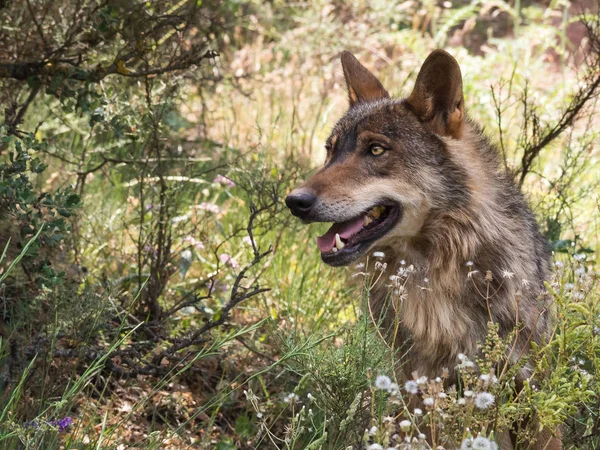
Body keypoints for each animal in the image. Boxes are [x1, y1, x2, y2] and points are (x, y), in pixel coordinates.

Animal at [284, 50, 556, 450]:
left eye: (376, 149)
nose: (295, 201)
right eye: (329, 151)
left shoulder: (527, 385)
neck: (435, 276)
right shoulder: (419, 383)